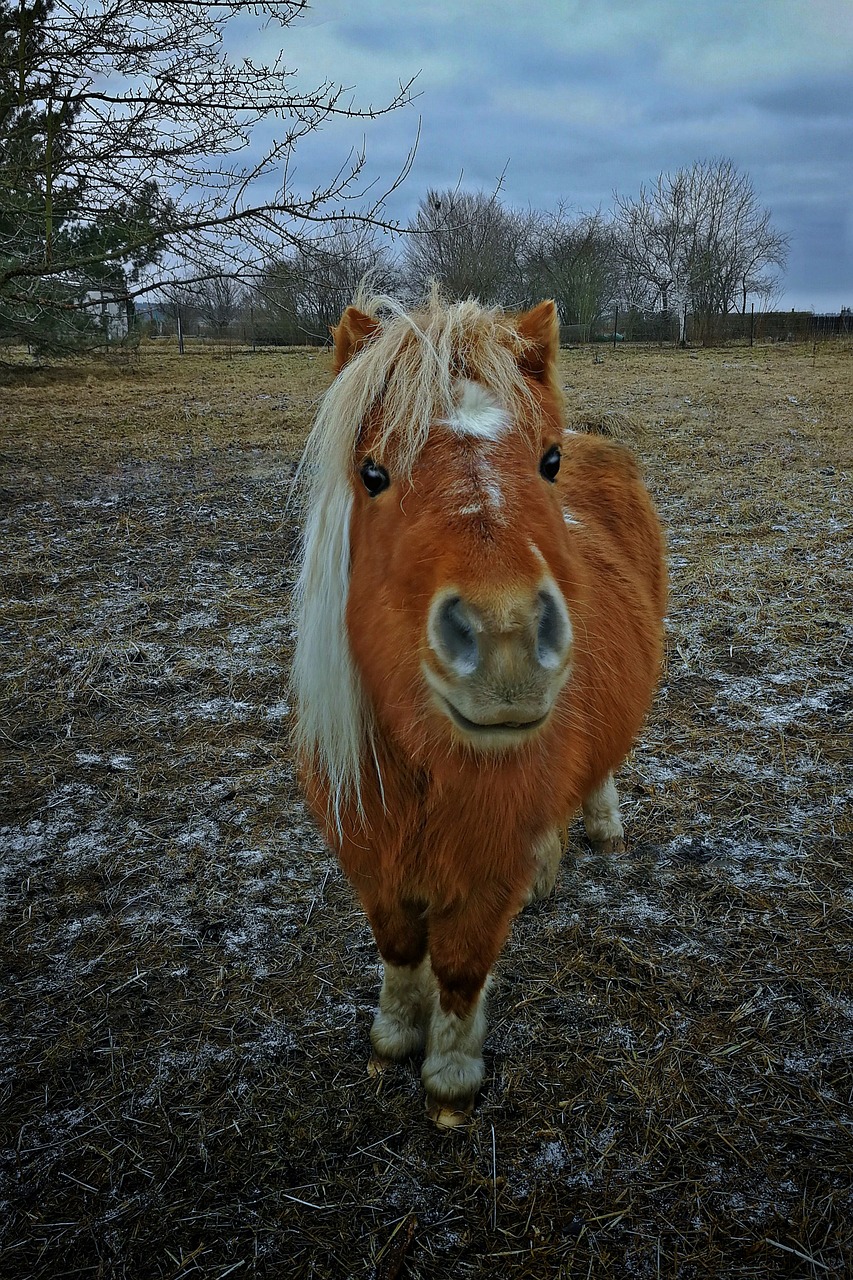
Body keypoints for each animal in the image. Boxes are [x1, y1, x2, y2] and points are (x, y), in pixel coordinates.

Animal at [292, 288, 666, 1121]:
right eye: (371, 471)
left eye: (548, 460)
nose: (505, 643)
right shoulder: (370, 859)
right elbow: (399, 947)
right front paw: (394, 1035)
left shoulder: (484, 875)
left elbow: (461, 966)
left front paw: (450, 1076)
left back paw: (602, 828)